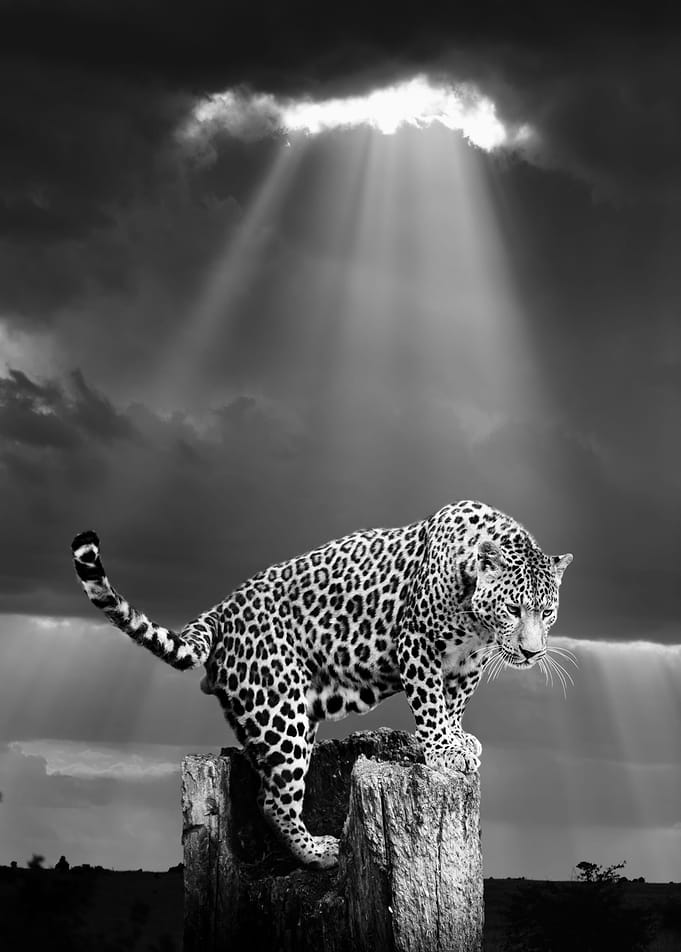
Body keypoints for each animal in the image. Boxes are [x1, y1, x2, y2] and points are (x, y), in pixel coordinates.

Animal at [71, 500, 572, 869]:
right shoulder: (416, 645)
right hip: (280, 712)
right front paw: (443, 750)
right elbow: (431, 703)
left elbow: (455, 704)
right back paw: (319, 853)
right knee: (273, 799)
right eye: (513, 609)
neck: (476, 618)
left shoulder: (468, 662)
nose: (532, 653)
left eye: (547, 612)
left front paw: (458, 740)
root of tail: (221, 609)